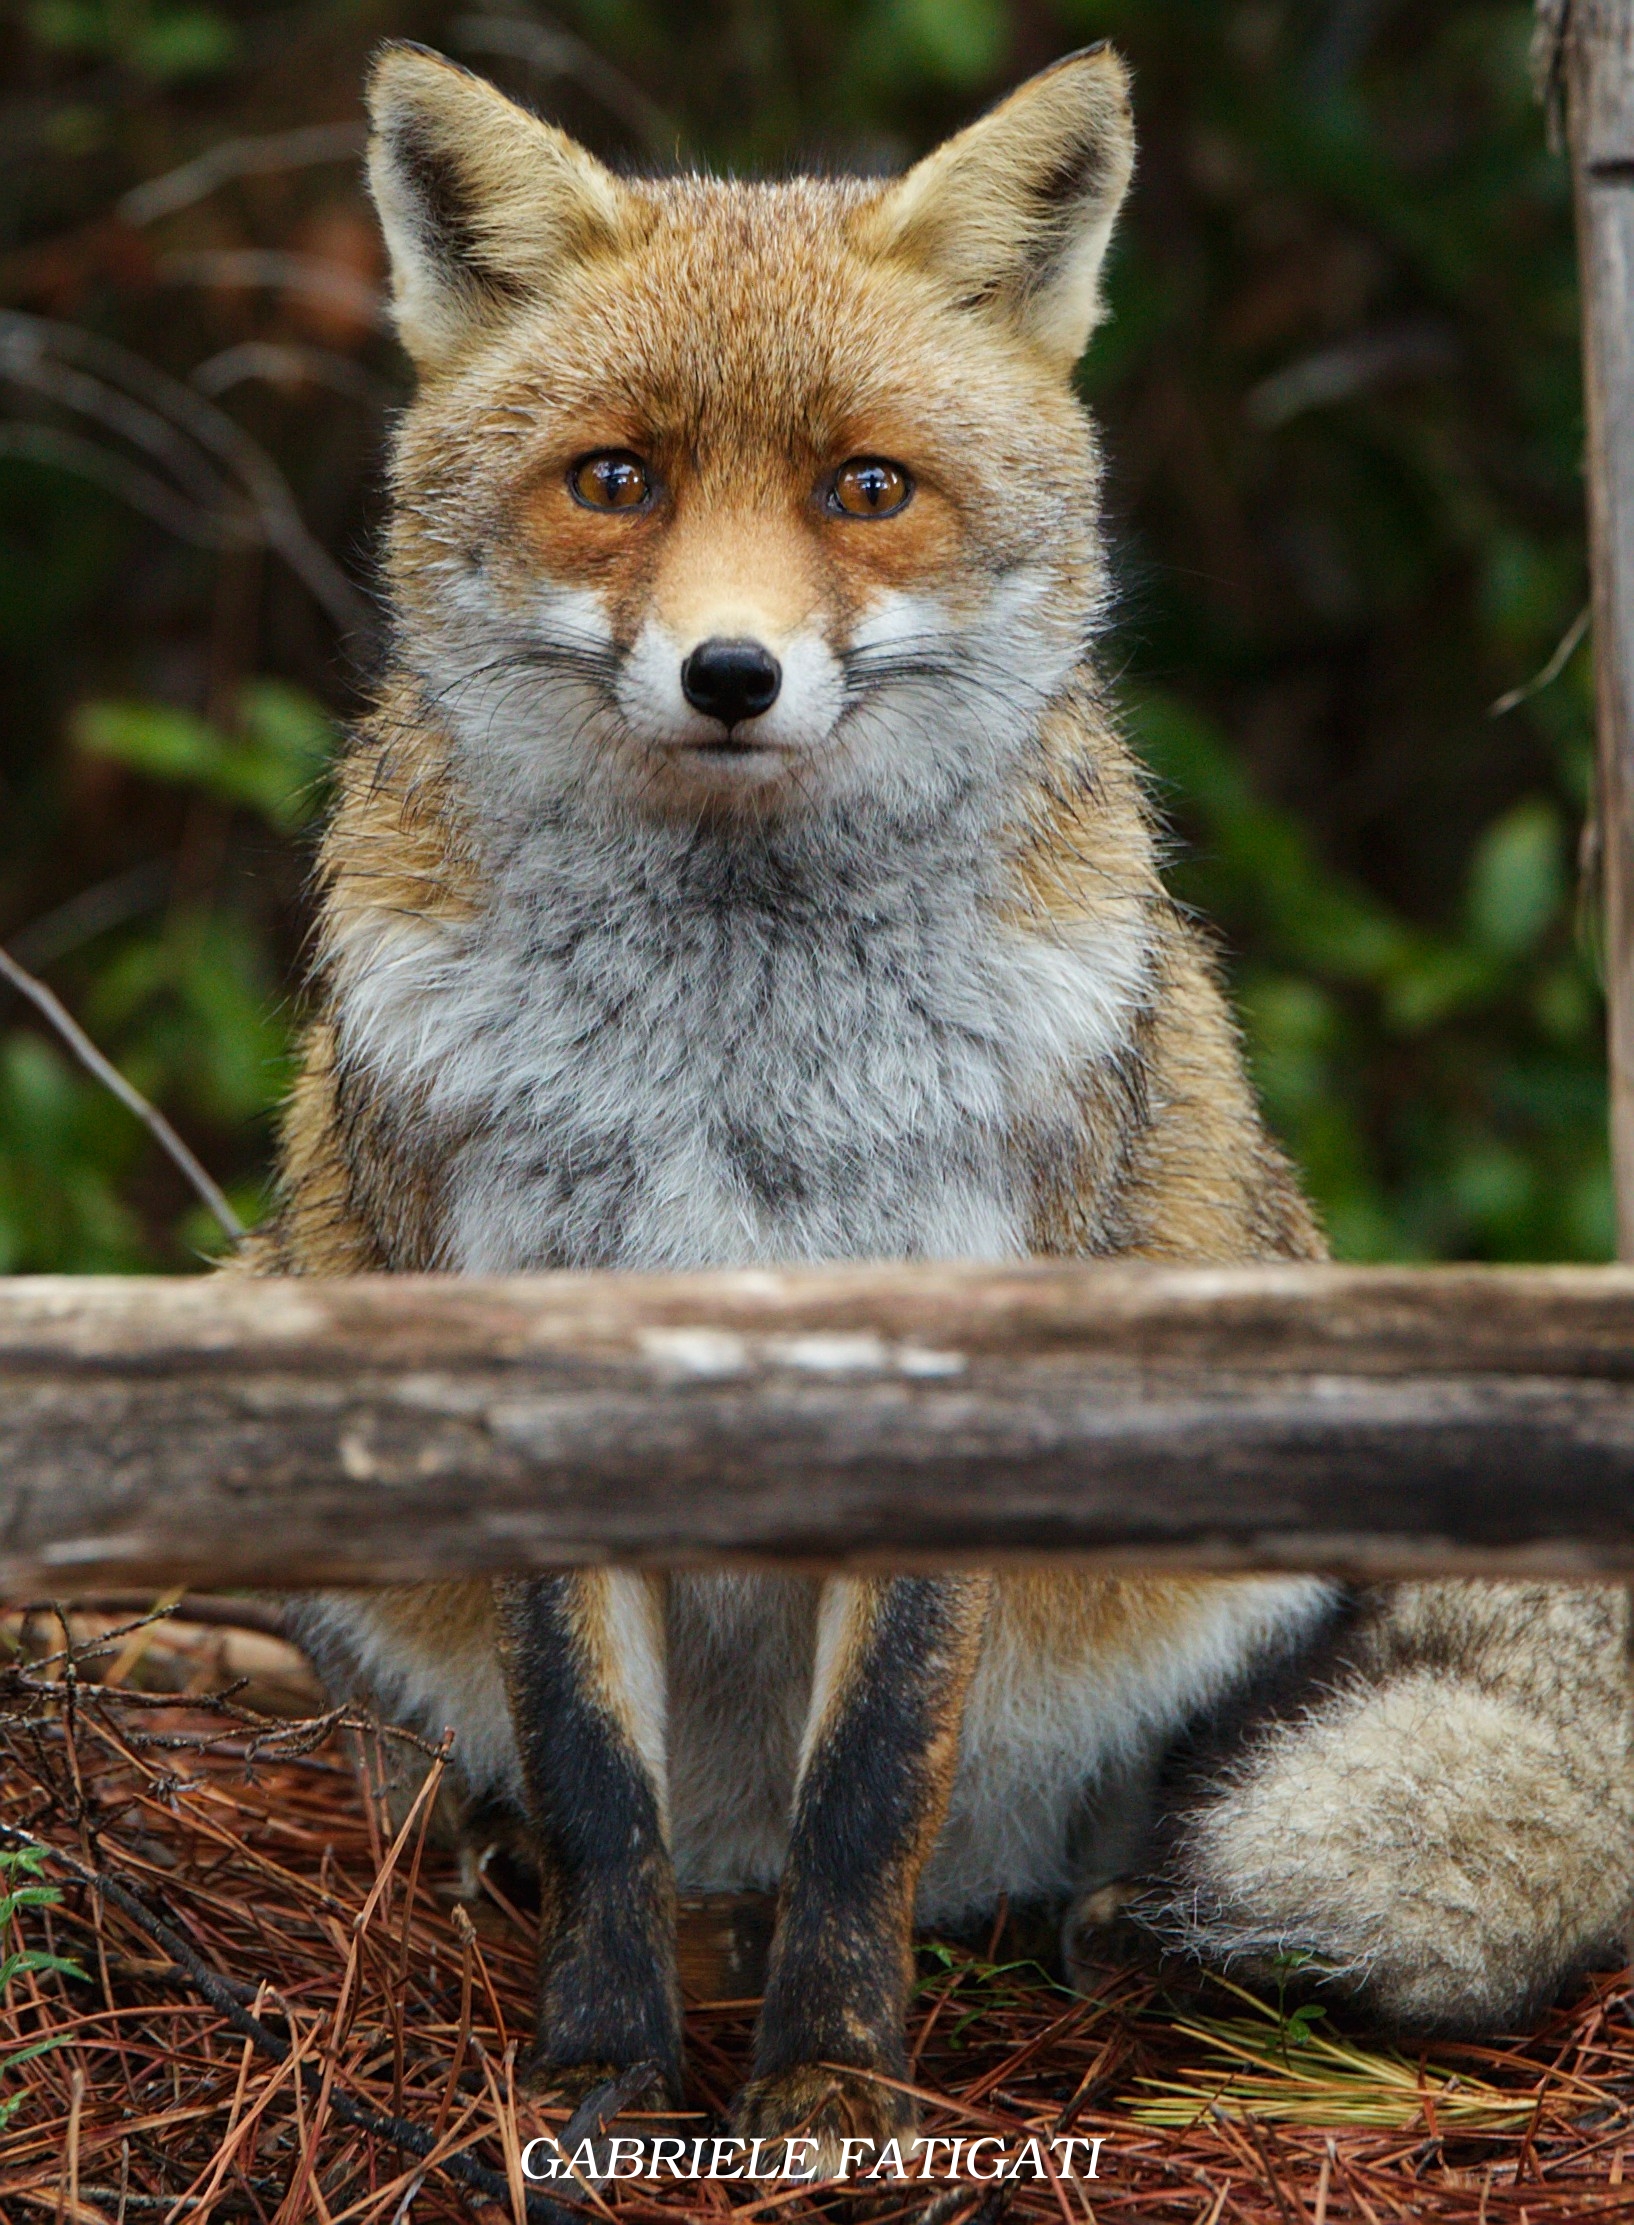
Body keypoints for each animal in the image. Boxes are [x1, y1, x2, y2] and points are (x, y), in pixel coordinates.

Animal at [247, 39, 1634, 2166]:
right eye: (616, 480)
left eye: (866, 488)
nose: (729, 674)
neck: (729, 1052)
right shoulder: (522, 1333)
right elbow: (595, 1788)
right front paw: (599, 2073)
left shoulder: (956, 1339)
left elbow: (869, 1785)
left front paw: (828, 2088)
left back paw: (1096, 1937)